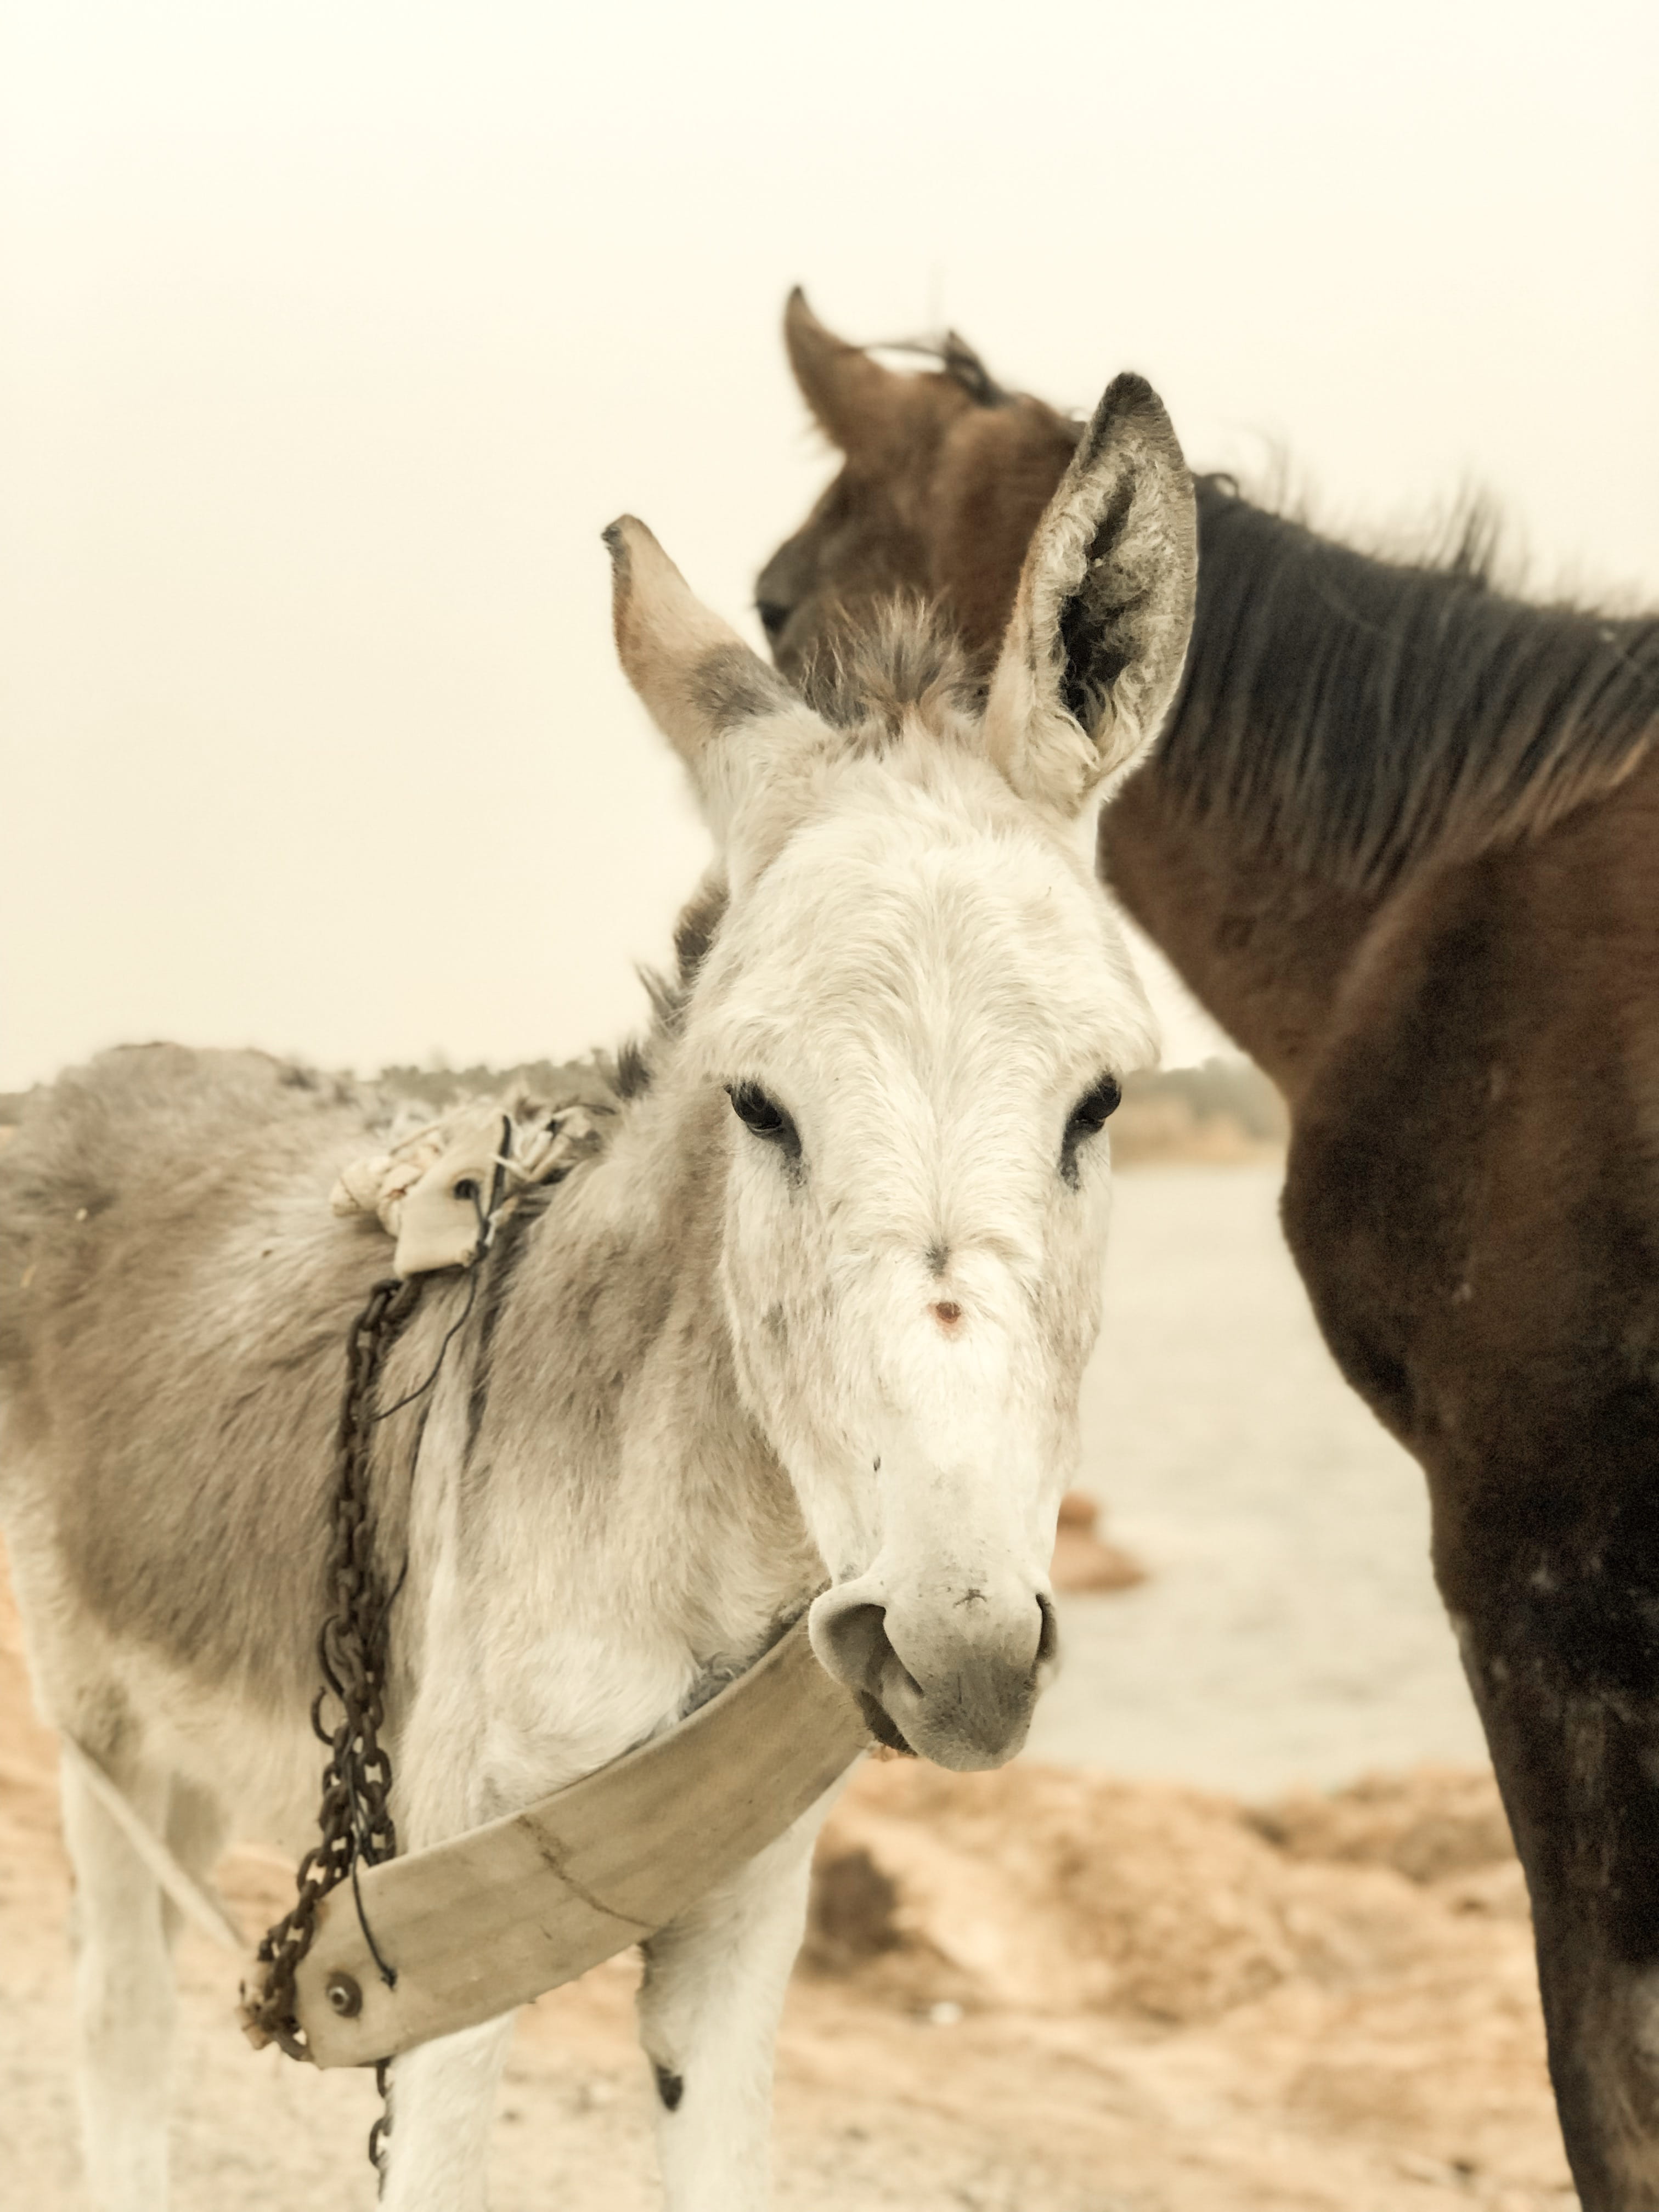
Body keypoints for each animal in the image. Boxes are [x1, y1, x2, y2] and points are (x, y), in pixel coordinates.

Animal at [0, 369, 1197, 2212]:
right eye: (756, 1102)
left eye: (1101, 1104)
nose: (960, 1653)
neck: (683, 1539)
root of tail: (107, 1072)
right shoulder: (427, 1951)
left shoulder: (740, 1918)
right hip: (97, 1740)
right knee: (120, 2038)